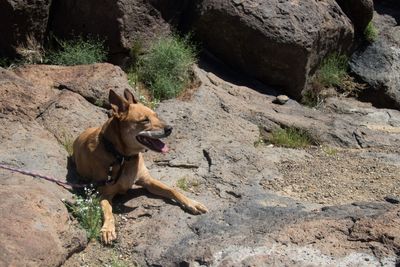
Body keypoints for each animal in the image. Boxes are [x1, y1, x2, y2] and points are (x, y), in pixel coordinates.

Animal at [73, 89, 208, 244]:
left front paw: (192, 203)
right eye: (145, 120)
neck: (123, 158)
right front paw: (107, 229)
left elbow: (172, 190)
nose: (170, 128)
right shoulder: (103, 193)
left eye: (156, 115)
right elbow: (108, 210)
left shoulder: (148, 181)